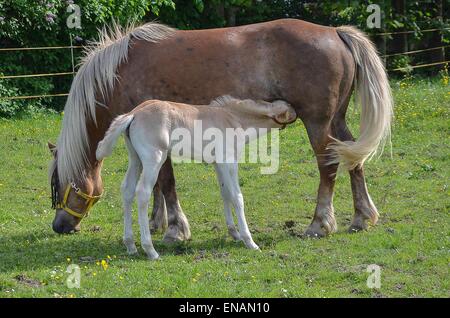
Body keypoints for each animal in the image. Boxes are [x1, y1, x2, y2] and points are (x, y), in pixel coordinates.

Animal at [49, 19, 392, 241]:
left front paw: (175, 229)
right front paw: (157, 222)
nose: (59, 225)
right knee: (353, 157)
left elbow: (166, 181)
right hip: (336, 120)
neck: (119, 72)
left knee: (327, 164)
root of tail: (335, 32)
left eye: (57, 186)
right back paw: (361, 216)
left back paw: (320, 223)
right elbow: (158, 184)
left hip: (317, 122)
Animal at [96, 96, 298, 258]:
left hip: (135, 159)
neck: (233, 119)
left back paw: (131, 246)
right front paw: (250, 241)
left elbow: (225, 194)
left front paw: (234, 234)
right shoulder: (229, 161)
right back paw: (150, 250)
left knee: (127, 190)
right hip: (154, 159)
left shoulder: (218, 164)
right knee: (143, 192)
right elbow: (237, 197)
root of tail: (134, 114)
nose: (296, 109)